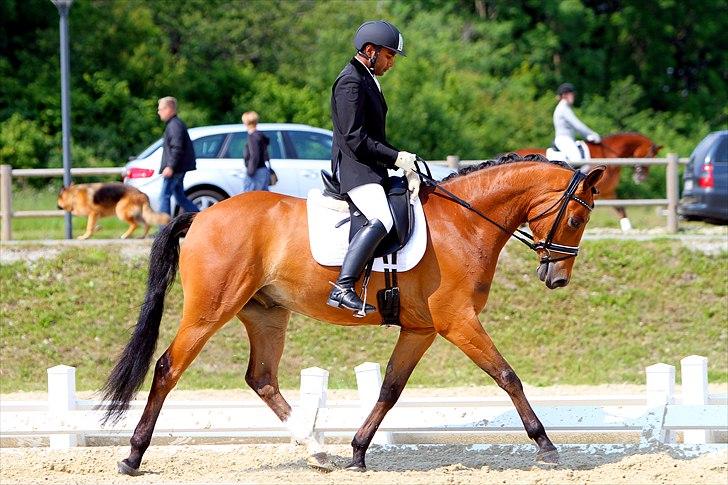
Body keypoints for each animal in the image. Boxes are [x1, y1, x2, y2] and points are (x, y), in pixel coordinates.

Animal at [99, 154, 604, 472]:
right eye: (577, 219)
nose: (556, 278)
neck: (464, 223)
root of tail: (201, 215)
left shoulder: (421, 330)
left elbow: (389, 390)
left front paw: (359, 452)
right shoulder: (457, 321)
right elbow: (507, 376)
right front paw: (546, 446)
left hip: (266, 314)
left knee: (261, 378)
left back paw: (316, 449)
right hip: (211, 309)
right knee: (168, 368)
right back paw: (132, 456)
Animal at [516, 131, 664, 230]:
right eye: (649, 156)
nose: (641, 178)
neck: (609, 155)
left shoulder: (608, 192)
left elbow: (620, 208)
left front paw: (627, 227)